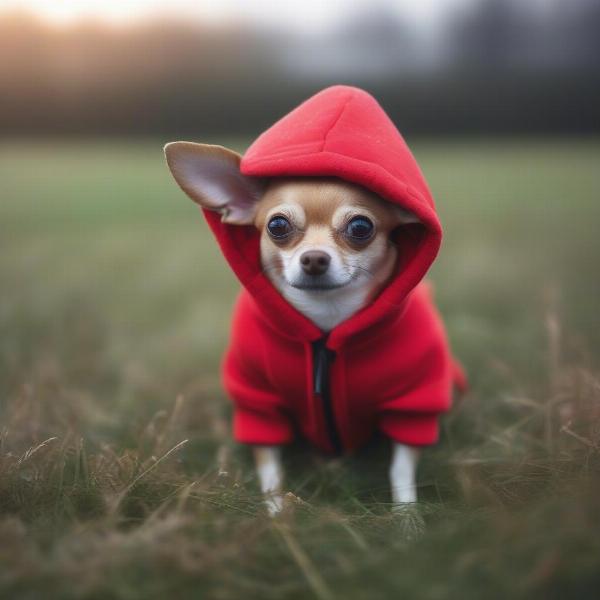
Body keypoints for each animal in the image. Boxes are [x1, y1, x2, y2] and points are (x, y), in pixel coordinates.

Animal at [163, 85, 464, 516]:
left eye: (361, 227)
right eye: (277, 226)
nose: (314, 259)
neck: (327, 322)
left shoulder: (413, 404)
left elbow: (401, 468)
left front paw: (408, 518)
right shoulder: (260, 405)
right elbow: (270, 469)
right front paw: (276, 513)